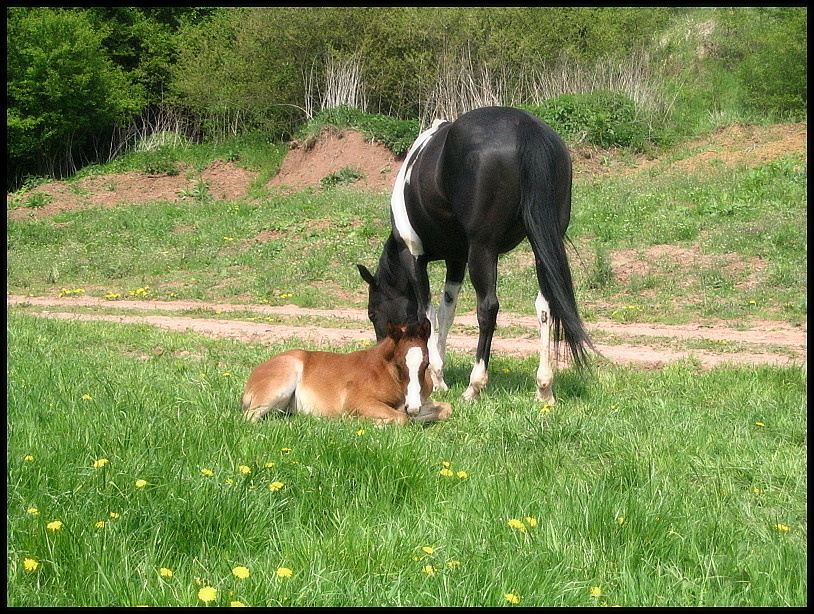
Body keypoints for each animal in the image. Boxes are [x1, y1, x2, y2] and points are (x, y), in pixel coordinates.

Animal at [360, 107, 596, 404]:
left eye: (372, 313)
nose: (382, 359)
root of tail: (524, 126)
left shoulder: (414, 256)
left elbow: (426, 314)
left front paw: (435, 374)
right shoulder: (456, 260)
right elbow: (446, 311)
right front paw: (440, 377)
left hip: (483, 249)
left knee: (487, 308)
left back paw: (475, 385)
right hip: (541, 244)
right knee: (545, 306)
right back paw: (544, 388)